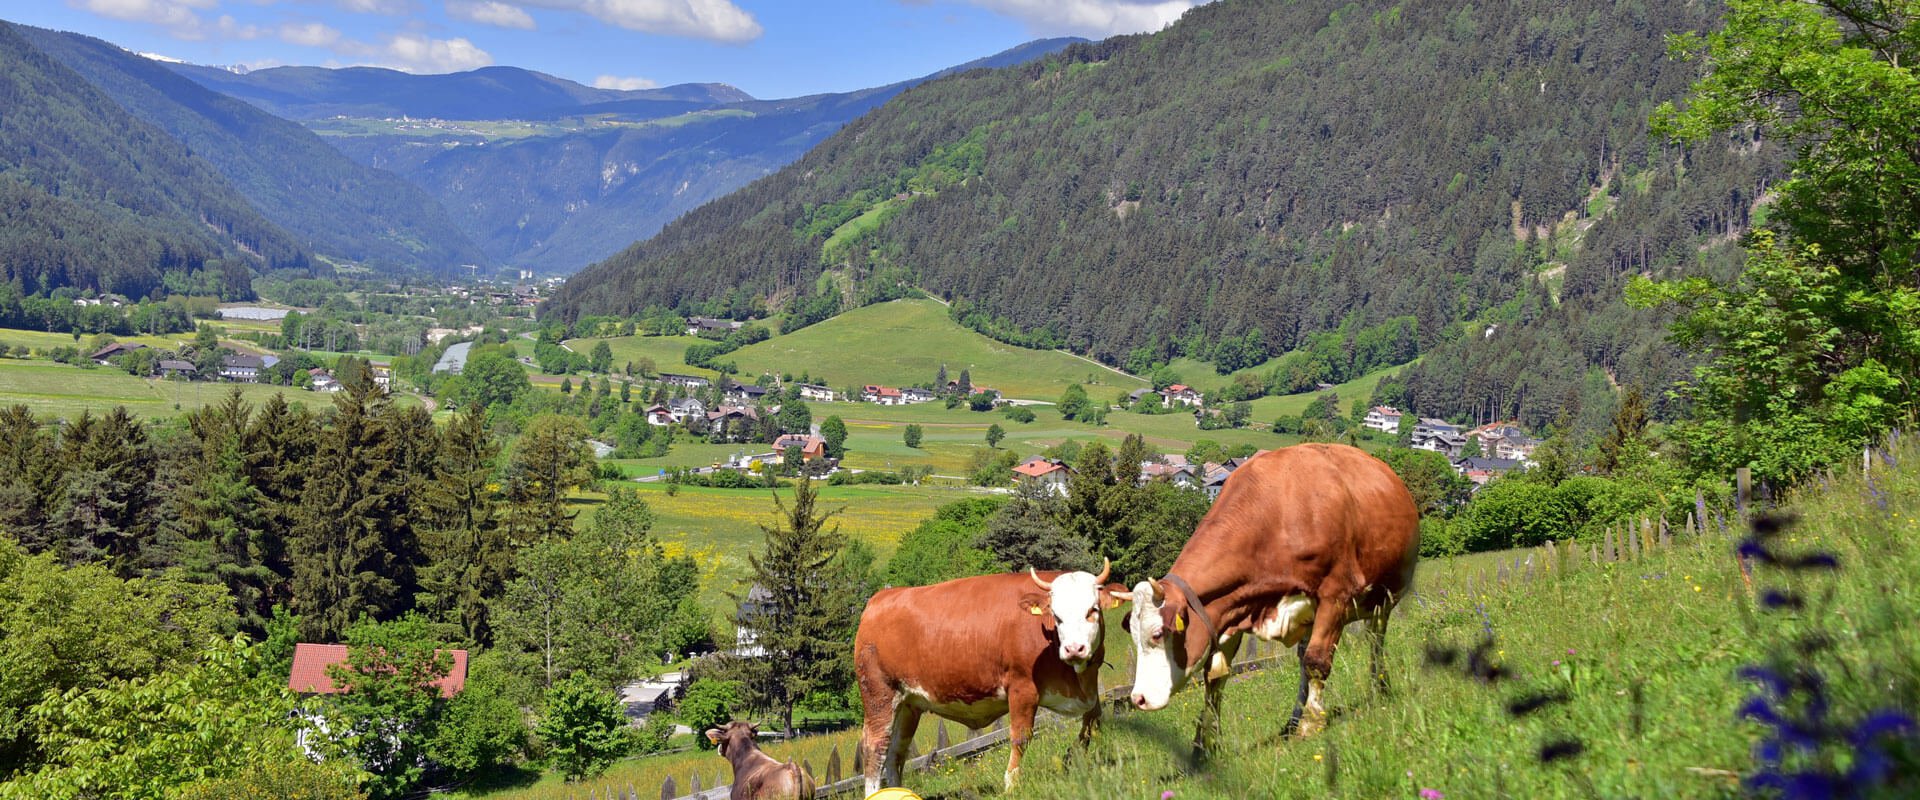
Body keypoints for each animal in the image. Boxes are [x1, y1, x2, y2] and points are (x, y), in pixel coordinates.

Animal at [852, 556, 1121, 794]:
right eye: (1056, 615)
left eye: (1093, 610)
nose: (1074, 649)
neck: (1078, 680)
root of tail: (881, 598)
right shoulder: (1022, 688)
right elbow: (1020, 737)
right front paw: (1011, 784)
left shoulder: (1089, 692)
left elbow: (1093, 720)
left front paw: (1071, 758)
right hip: (879, 696)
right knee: (875, 748)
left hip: (908, 703)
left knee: (896, 752)